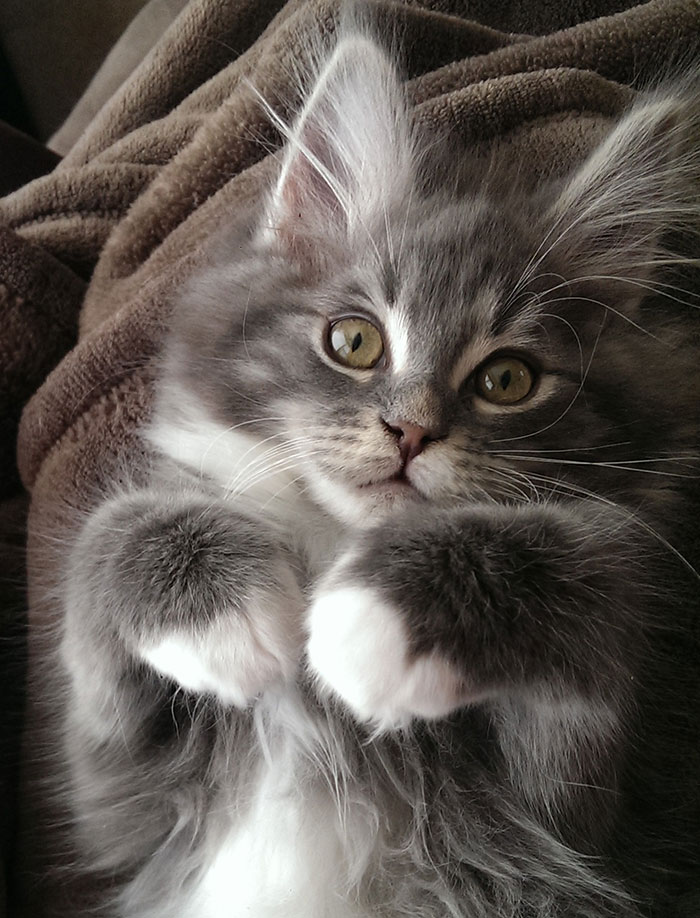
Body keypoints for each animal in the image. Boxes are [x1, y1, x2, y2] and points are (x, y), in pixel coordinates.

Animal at [58, 19, 700, 918]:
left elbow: (585, 564)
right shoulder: (124, 804)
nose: (412, 431)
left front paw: (377, 616)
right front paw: (218, 607)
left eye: (508, 380)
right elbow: (105, 534)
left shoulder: (590, 816)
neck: (336, 540)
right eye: (354, 341)